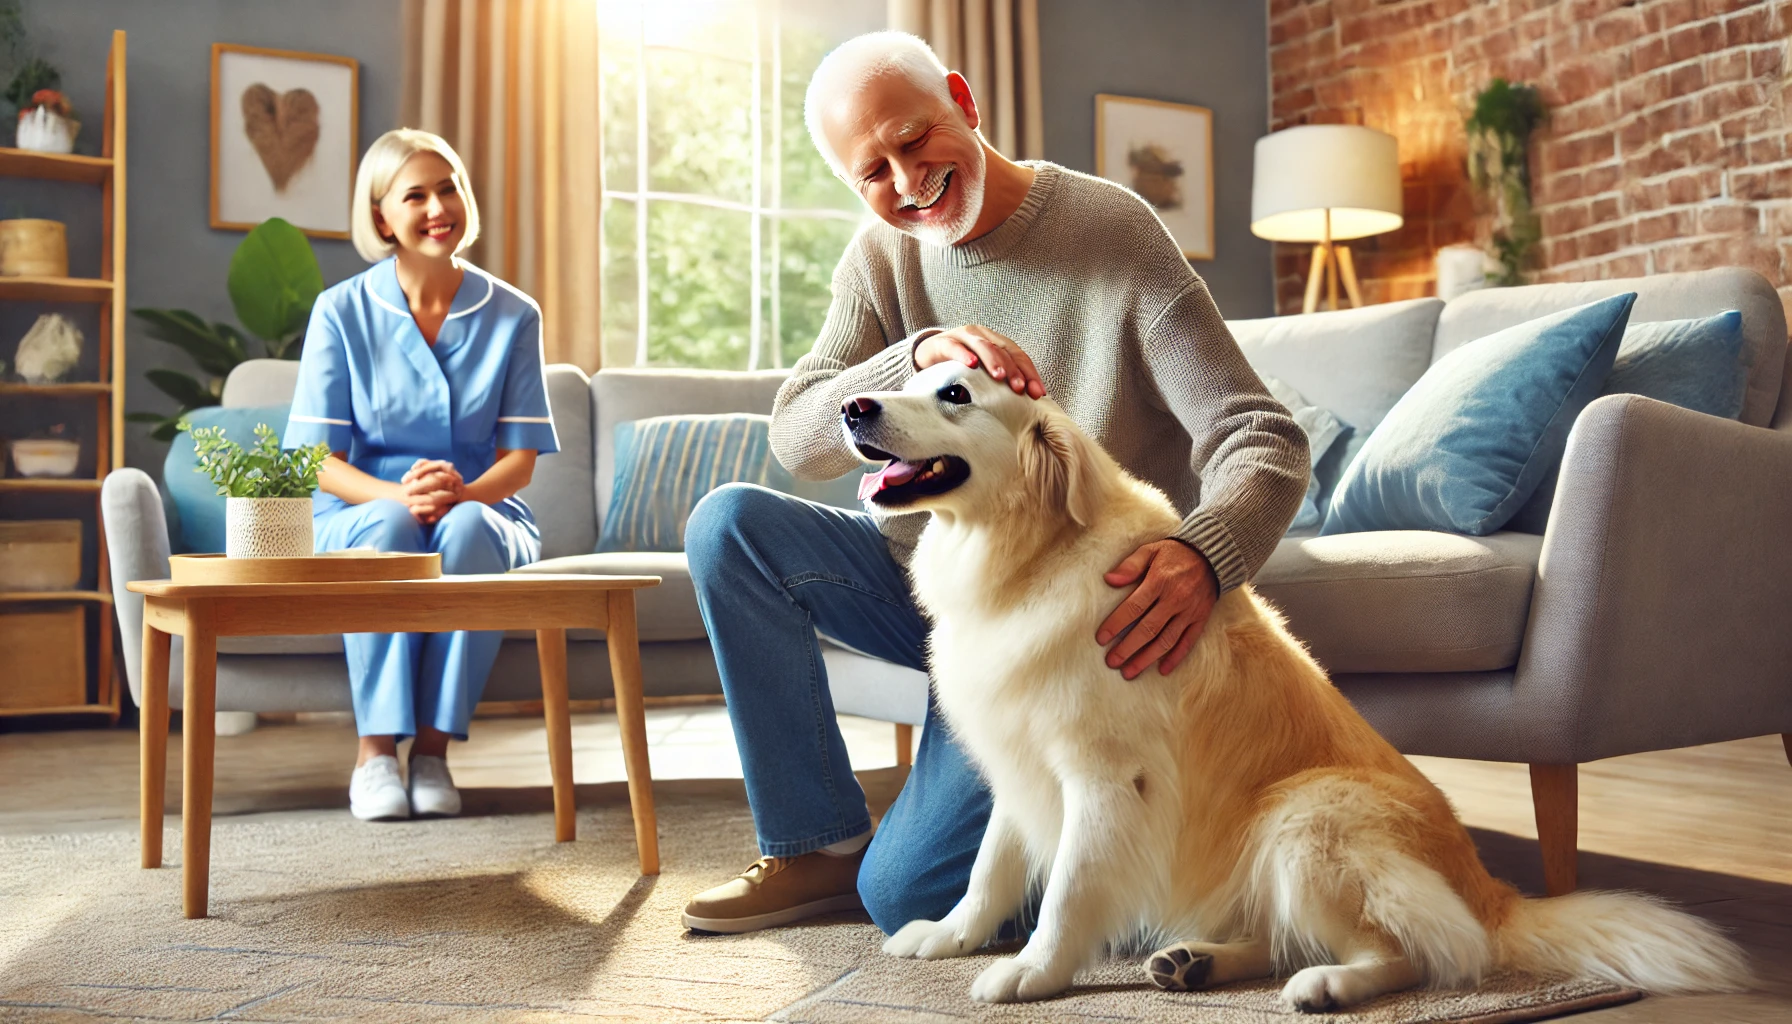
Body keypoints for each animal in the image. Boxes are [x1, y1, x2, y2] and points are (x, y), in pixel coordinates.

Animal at [838, 362, 1748, 1011]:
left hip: (1303, 815)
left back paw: (1329, 985)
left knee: (1426, 953)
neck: (1026, 557)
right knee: (1282, 935)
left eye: (957, 393)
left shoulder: (1106, 778)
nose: (852, 407)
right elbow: (989, 869)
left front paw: (1032, 973)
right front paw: (952, 935)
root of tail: (1494, 895)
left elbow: (1064, 891)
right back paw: (1194, 963)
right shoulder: (1020, 765)